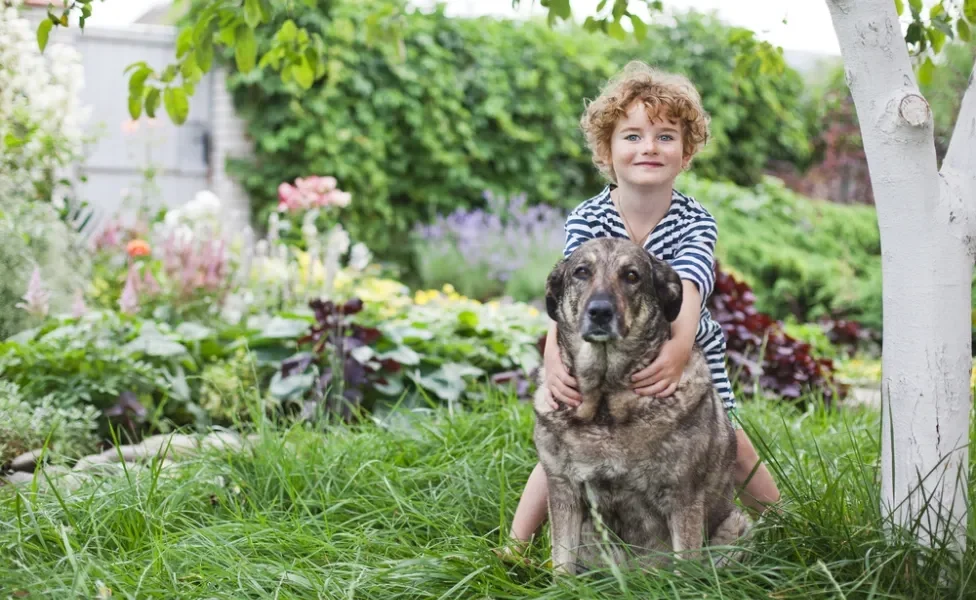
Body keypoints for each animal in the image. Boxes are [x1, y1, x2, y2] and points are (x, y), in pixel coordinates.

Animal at [532, 237, 748, 576]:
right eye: (582, 272)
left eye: (631, 276)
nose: (600, 312)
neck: (606, 405)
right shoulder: (564, 493)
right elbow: (562, 565)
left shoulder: (683, 498)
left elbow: (685, 568)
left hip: (737, 525)